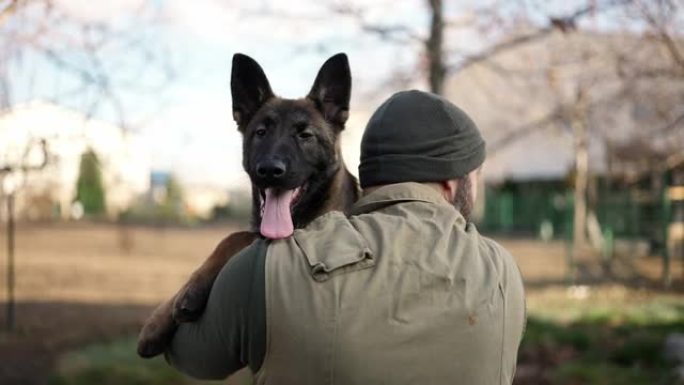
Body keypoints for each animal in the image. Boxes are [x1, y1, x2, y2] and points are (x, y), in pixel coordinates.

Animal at [140, 51, 364, 356]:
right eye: (260, 132)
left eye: (305, 135)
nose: (270, 170)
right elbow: (235, 235)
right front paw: (156, 322)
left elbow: (235, 236)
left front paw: (191, 291)